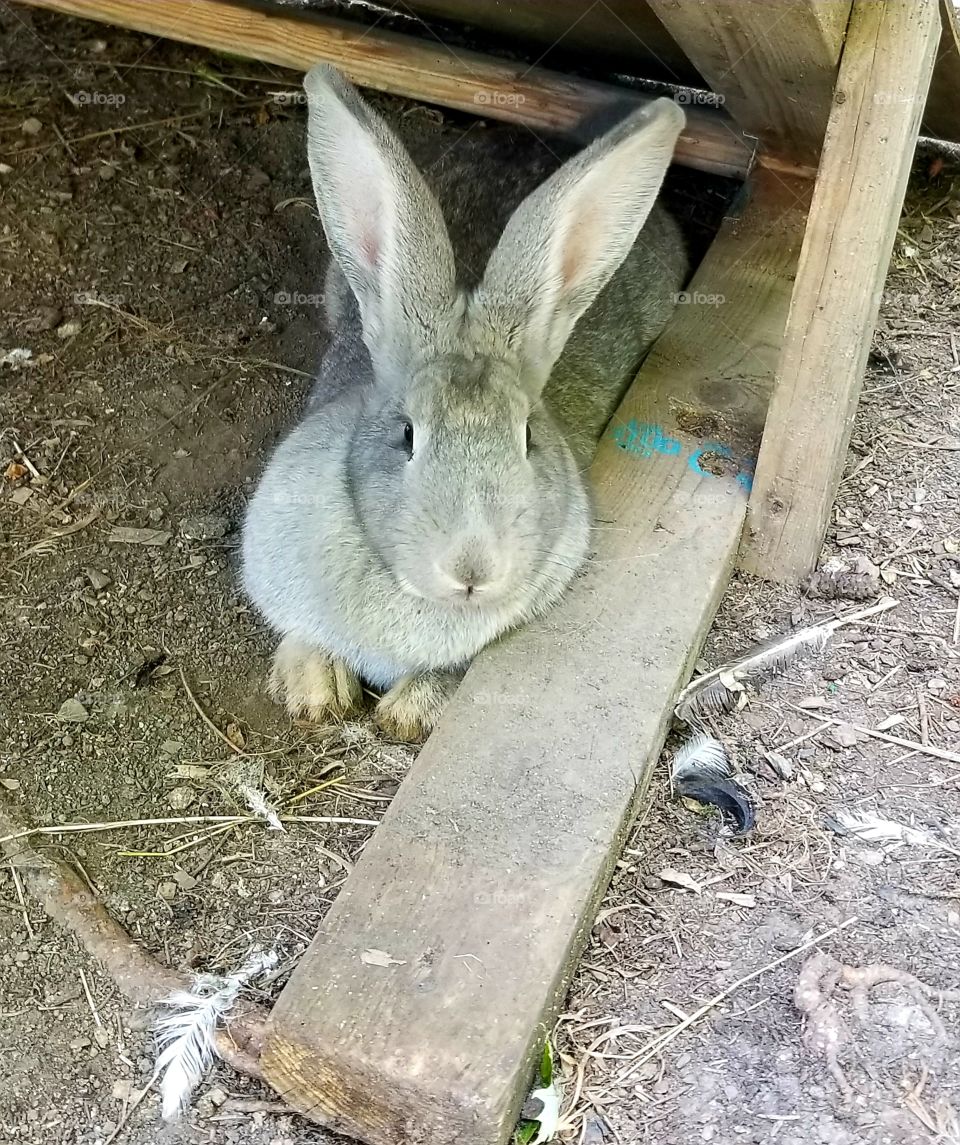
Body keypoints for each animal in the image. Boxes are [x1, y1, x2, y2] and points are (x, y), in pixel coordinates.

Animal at [242, 64, 687, 740]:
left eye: (529, 437)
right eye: (406, 434)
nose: (473, 570)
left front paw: (405, 714)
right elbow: (300, 632)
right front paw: (313, 692)